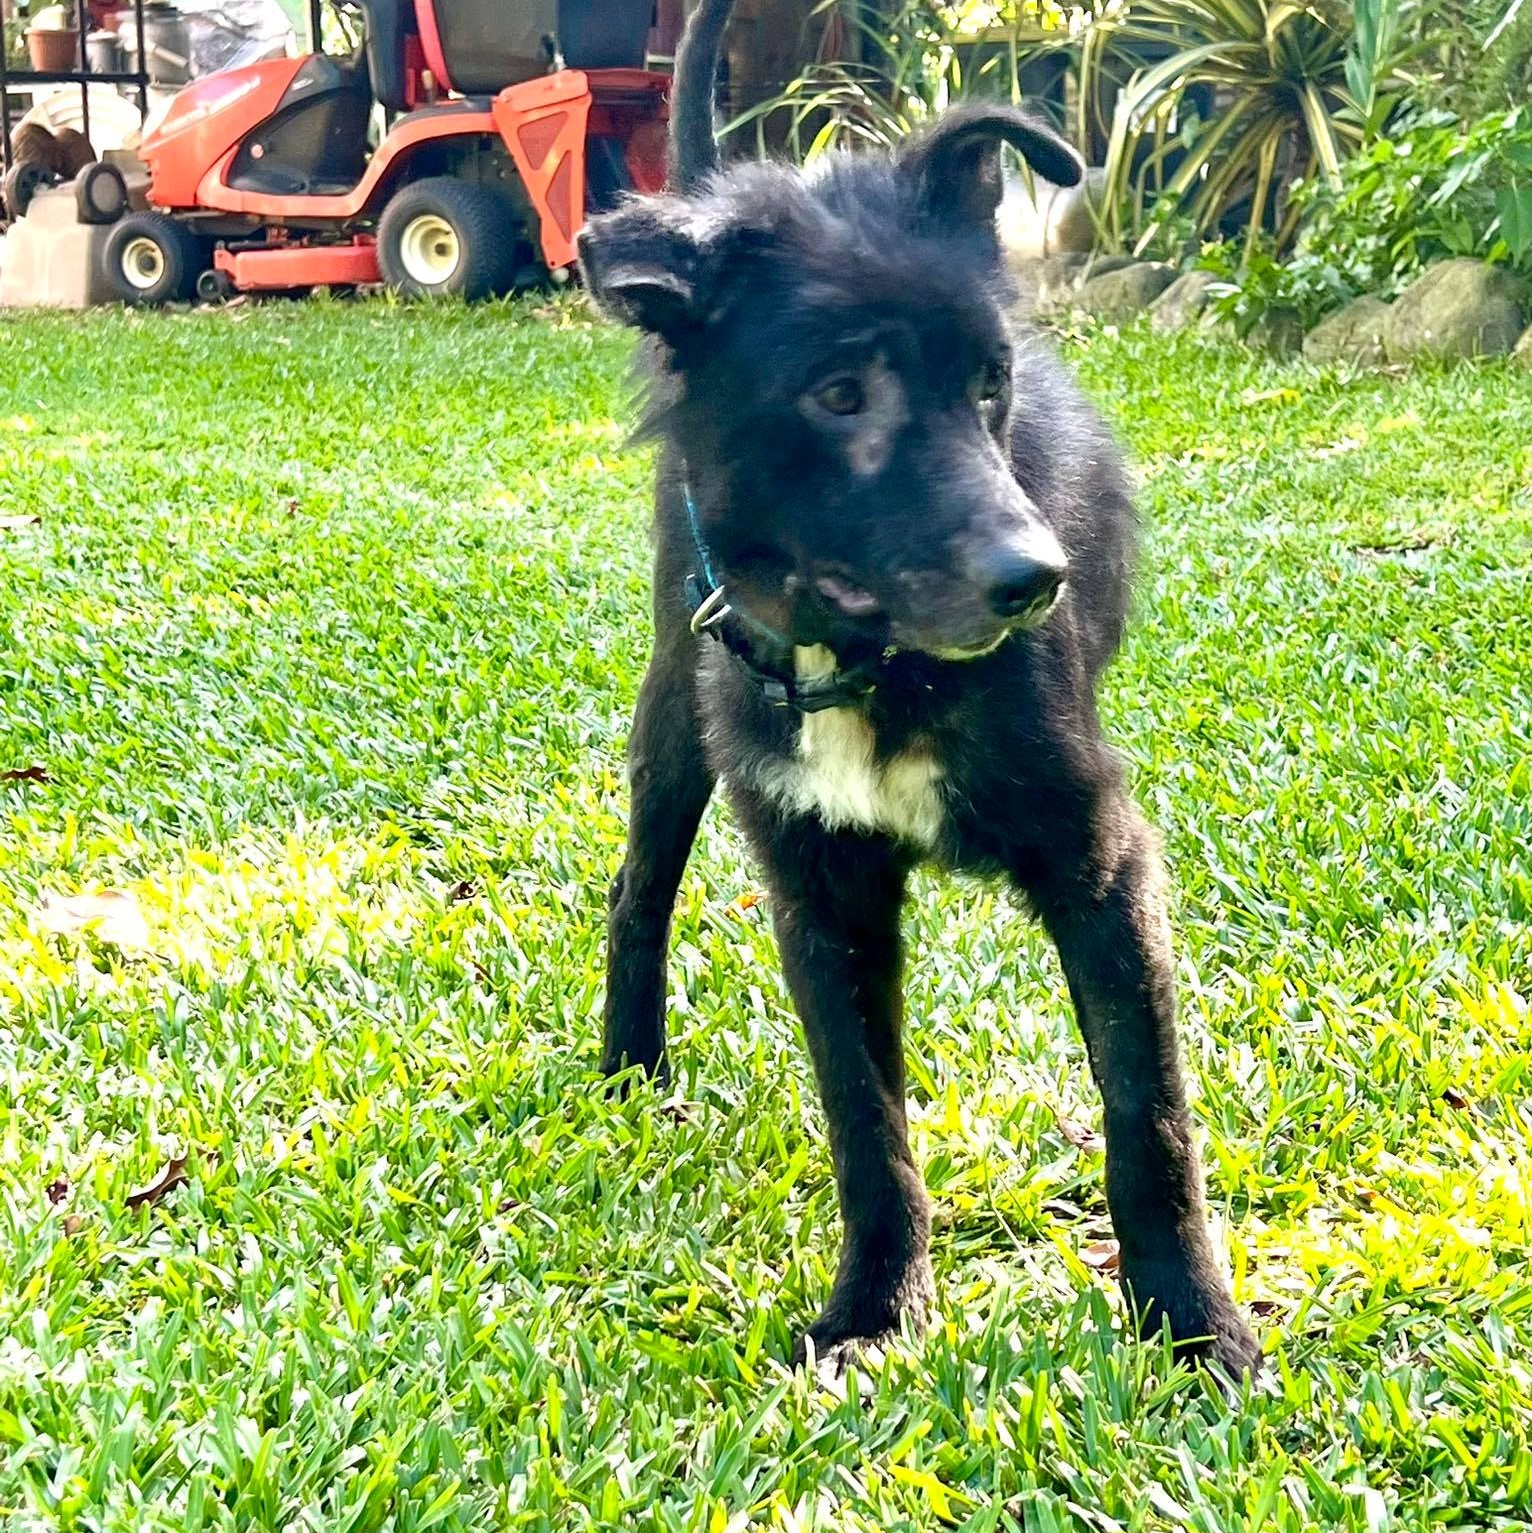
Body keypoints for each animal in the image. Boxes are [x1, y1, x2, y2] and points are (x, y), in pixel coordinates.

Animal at [576, 0, 1257, 1379]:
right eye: (840, 395)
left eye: (989, 385)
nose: (1036, 580)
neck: (861, 663)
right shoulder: (816, 888)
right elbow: (864, 1125)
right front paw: (874, 1312)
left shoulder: (1102, 862)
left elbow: (1146, 1117)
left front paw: (1191, 1328)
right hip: (676, 711)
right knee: (636, 888)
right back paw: (629, 1070)